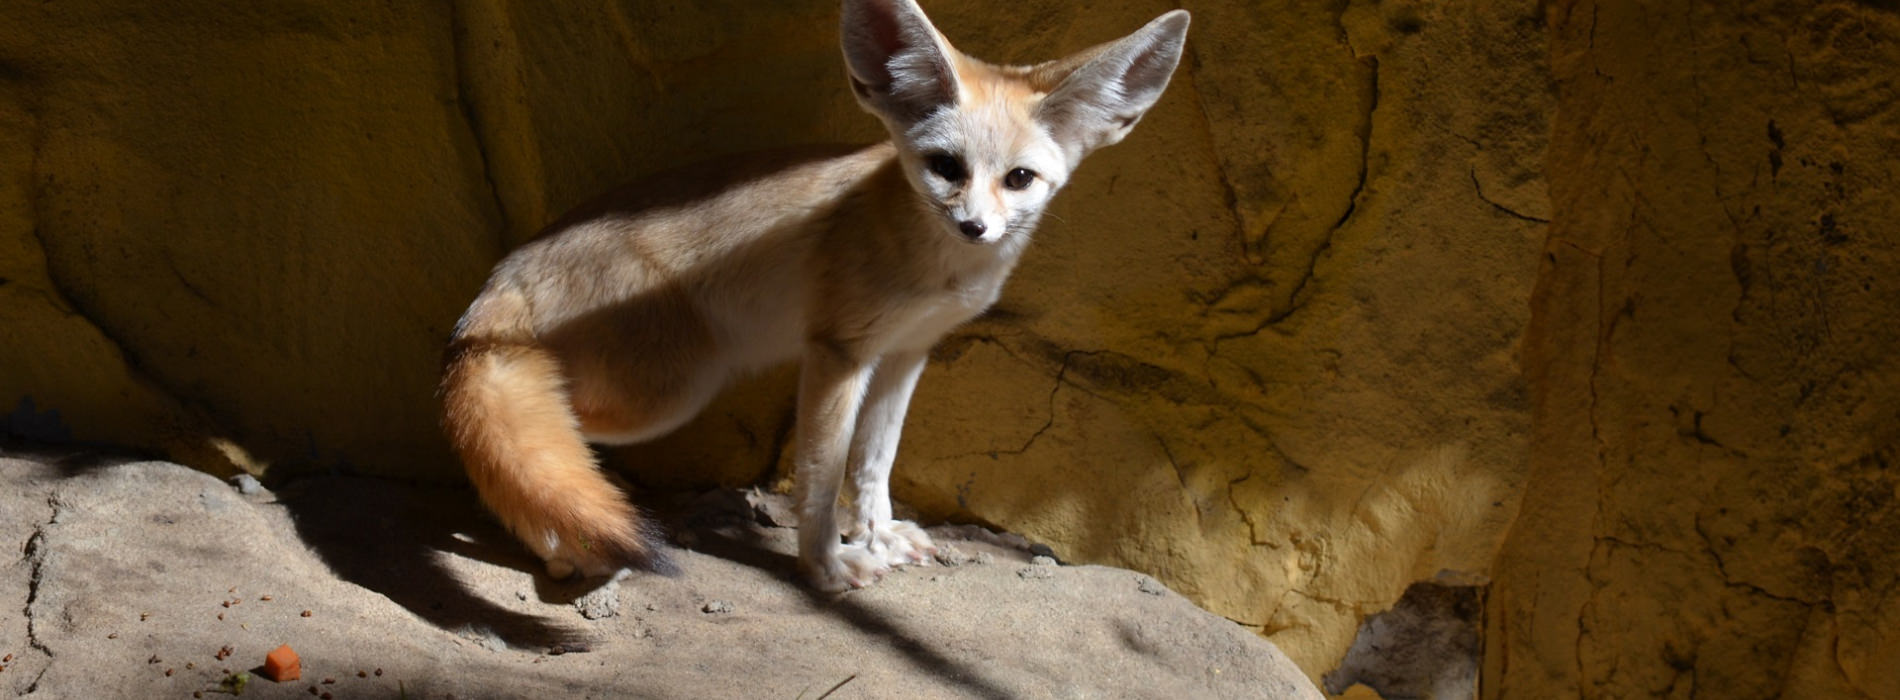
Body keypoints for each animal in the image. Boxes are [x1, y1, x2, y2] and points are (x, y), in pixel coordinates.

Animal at [441, 0, 1190, 592]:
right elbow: (823, 477)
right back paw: (563, 546)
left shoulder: (907, 352)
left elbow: (875, 460)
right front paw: (826, 564)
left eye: (1020, 179)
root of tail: (499, 279)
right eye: (945, 167)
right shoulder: (838, 353)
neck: (932, 264)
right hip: (667, 394)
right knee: (526, 438)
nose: (974, 227)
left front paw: (878, 534)